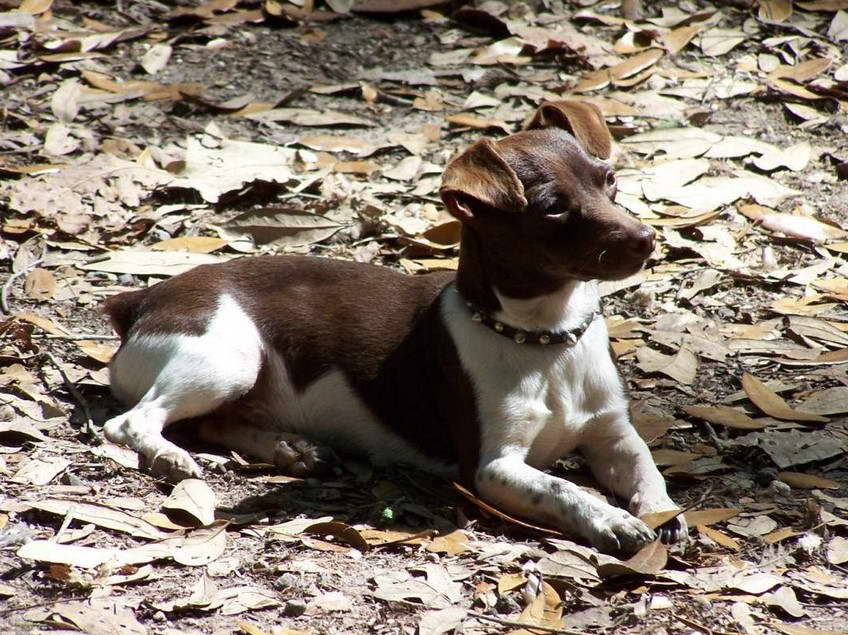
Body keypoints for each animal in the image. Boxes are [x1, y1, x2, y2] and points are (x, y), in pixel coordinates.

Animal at [102, 102, 684, 556]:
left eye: (609, 180)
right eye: (554, 210)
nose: (647, 238)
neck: (547, 341)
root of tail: (143, 300)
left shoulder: (613, 435)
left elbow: (648, 467)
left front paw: (661, 510)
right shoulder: (492, 468)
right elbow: (565, 489)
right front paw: (611, 519)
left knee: (213, 424)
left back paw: (290, 449)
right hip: (228, 360)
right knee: (131, 422)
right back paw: (172, 456)